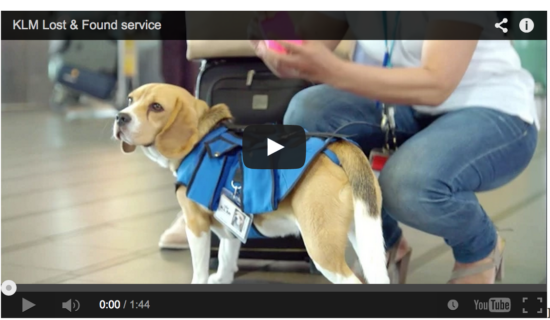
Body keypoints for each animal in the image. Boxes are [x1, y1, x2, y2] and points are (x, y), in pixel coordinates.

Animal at [113, 84, 388, 284]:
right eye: (130, 99)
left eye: (156, 107)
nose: (120, 117)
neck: (203, 138)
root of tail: (334, 148)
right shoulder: (230, 222)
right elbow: (226, 256)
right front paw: (221, 279)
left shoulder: (196, 223)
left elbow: (199, 267)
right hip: (363, 237)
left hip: (321, 248)